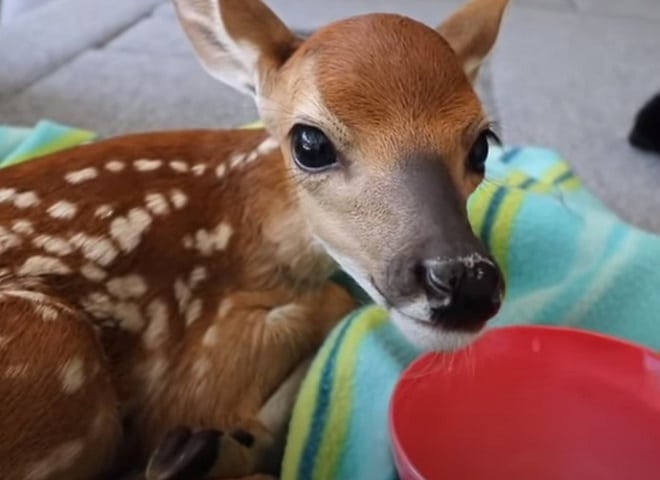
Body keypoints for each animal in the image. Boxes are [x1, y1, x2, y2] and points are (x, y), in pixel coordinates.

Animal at [0, 0, 508, 478]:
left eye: (481, 146)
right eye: (309, 144)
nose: (465, 283)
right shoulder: (201, 363)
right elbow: (335, 302)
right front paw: (218, 443)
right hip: (57, 339)